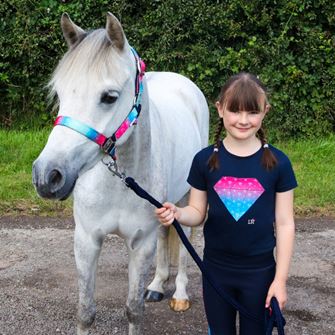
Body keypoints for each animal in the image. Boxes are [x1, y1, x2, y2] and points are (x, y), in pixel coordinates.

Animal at [32, 13, 209, 335]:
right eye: (59, 93)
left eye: (109, 97)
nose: (47, 176)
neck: (118, 182)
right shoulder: (86, 240)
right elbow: (85, 311)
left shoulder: (140, 244)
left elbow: (133, 310)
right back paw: (156, 285)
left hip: (187, 196)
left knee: (184, 238)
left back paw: (179, 294)